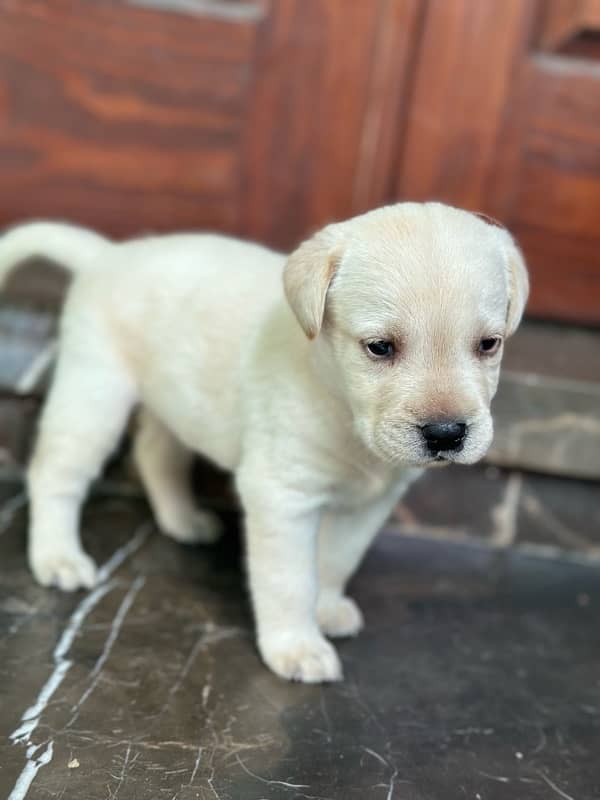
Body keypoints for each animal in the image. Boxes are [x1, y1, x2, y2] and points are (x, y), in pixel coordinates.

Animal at [0, 205, 524, 680]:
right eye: (379, 347)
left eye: (489, 344)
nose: (447, 434)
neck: (339, 404)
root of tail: (106, 256)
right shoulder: (280, 495)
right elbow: (289, 580)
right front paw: (296, 647)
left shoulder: (369, 505)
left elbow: (336, 560)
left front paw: (326, 608)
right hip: (94, 393)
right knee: (55, 474)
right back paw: (57, 557)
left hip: (175, 402)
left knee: (154, 453)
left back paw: (182, 521)